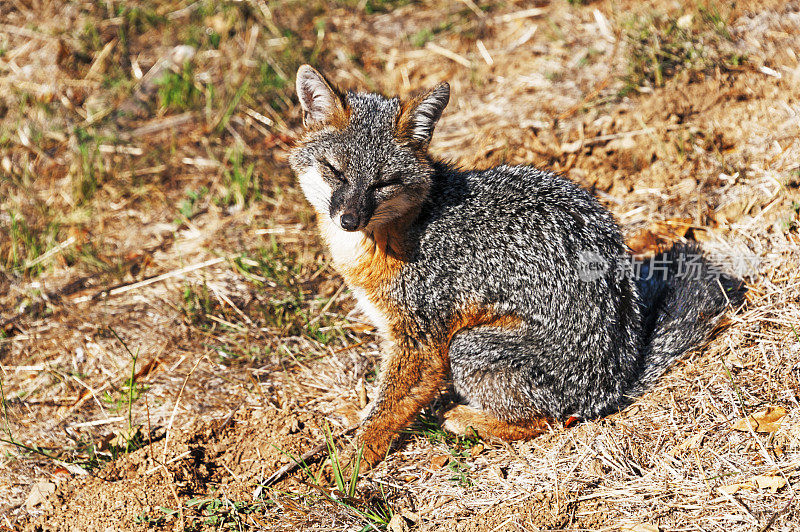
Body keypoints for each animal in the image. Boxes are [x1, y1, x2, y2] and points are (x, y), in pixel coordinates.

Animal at [290, 65, 744, 466]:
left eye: (384, 183)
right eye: (334, 172)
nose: (349, 219)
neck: (406, 227)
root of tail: (619, 380)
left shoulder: (422, 341)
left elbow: (389, 408)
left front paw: (351, 464)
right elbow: (379, 400)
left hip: (467, 345)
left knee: (550, 421)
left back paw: (468, 420)